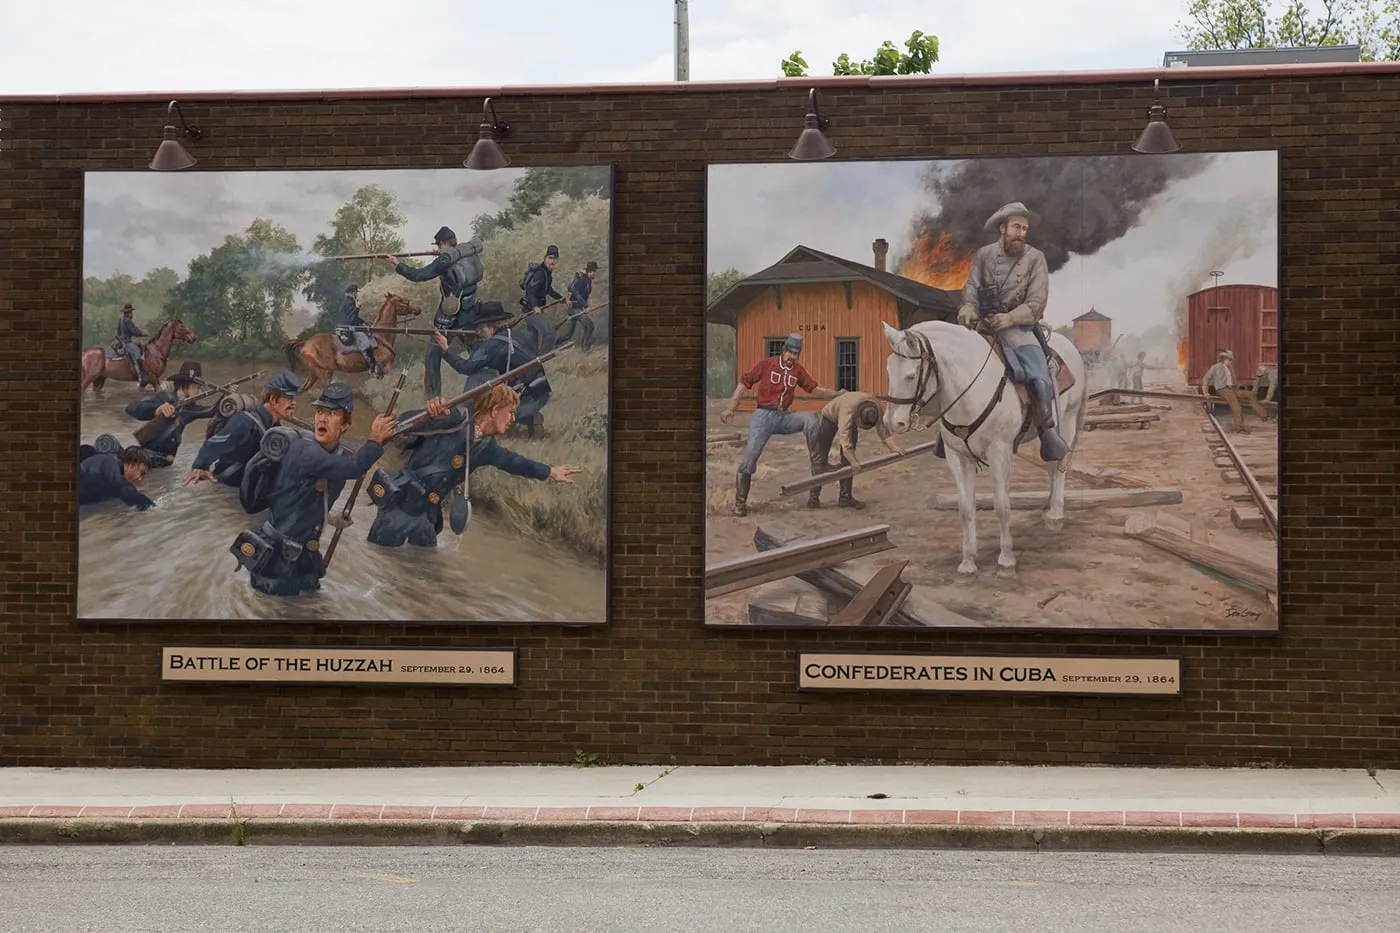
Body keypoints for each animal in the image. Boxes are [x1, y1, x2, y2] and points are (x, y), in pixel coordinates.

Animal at [281, 291, 417, 392]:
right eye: (401, 300)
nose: (418, 309)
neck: (382, 335)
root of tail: (306, 343)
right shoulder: (386, 367)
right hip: (324, 372)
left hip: (313, 372)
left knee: (302, 389)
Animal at [879, 323, 1086, 577]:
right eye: (889, 370)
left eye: (910, 375)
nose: (892, 423)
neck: (970, 388)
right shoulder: (957, 456)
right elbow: (966, 508)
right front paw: (968, 561)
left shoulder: (999, 451)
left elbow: (1002, 506)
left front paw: (1006, 560)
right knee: (1050, 465)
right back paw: (1048, 508)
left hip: (1067, 421)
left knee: (1059, 466)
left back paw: (1056, 515)